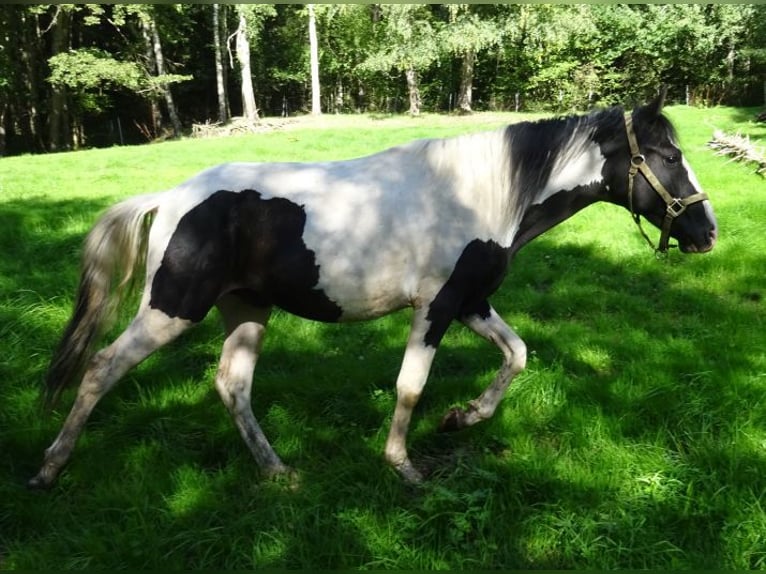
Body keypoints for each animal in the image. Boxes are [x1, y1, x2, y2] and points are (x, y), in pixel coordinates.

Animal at [29, 92, 717, 488]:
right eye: (665, 156)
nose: (707, 232)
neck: (481, 193)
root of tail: (169, 198)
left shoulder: (470, 304)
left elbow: (517, 355)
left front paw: (463, 417)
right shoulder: (436, 307)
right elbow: (411, 385)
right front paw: (404, 465)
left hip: (247, 312)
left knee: (232, 385)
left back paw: (278, 472)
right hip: (172, 310)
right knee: (101, 368)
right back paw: (49, 468)